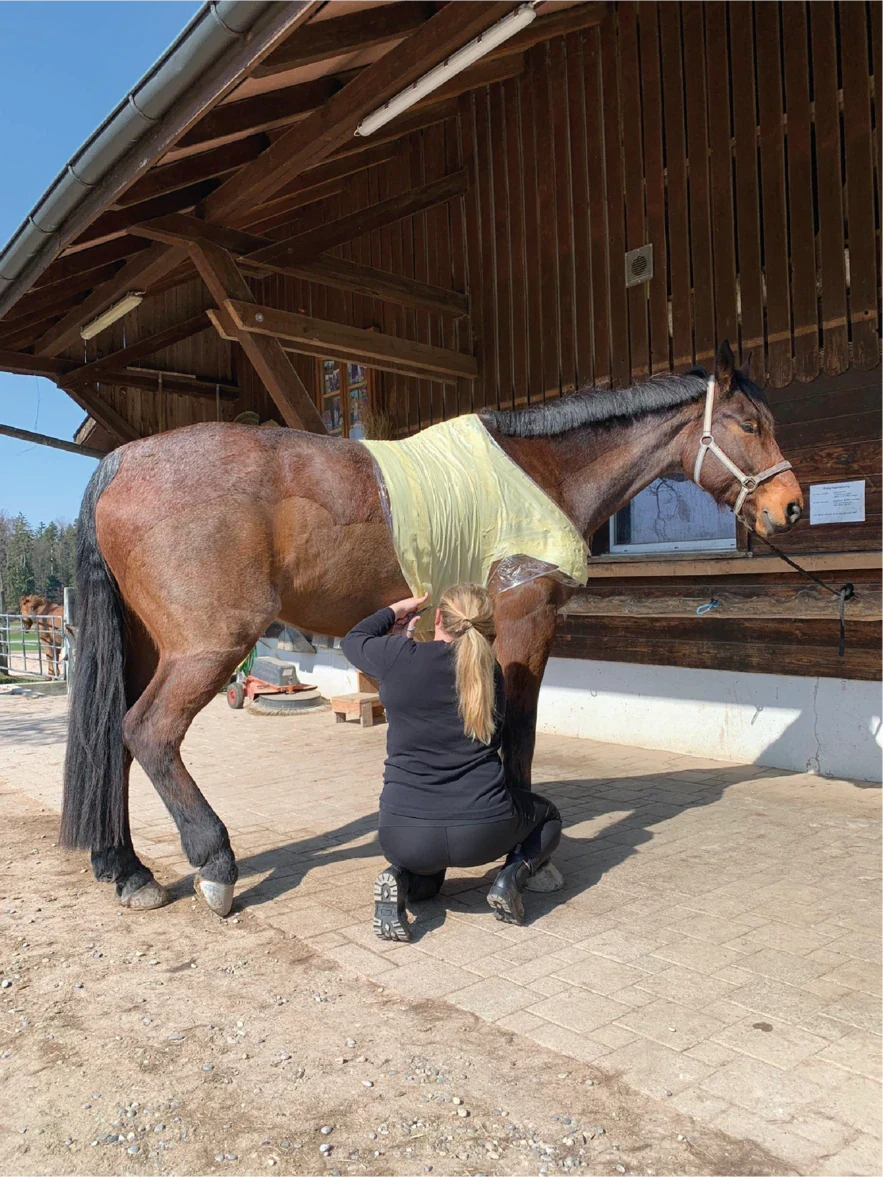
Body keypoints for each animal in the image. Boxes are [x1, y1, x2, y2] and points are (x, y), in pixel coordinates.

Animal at [60, 341, 803, 916]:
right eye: (747, 424)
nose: (790, 506)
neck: (538, 473)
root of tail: (124, 461)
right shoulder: (525, 626)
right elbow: (518, 734)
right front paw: (526, 857)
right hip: (208, 646)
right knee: (148, 731)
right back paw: (214, 863)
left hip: (145, 645)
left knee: (112, 737)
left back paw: (128, 870)